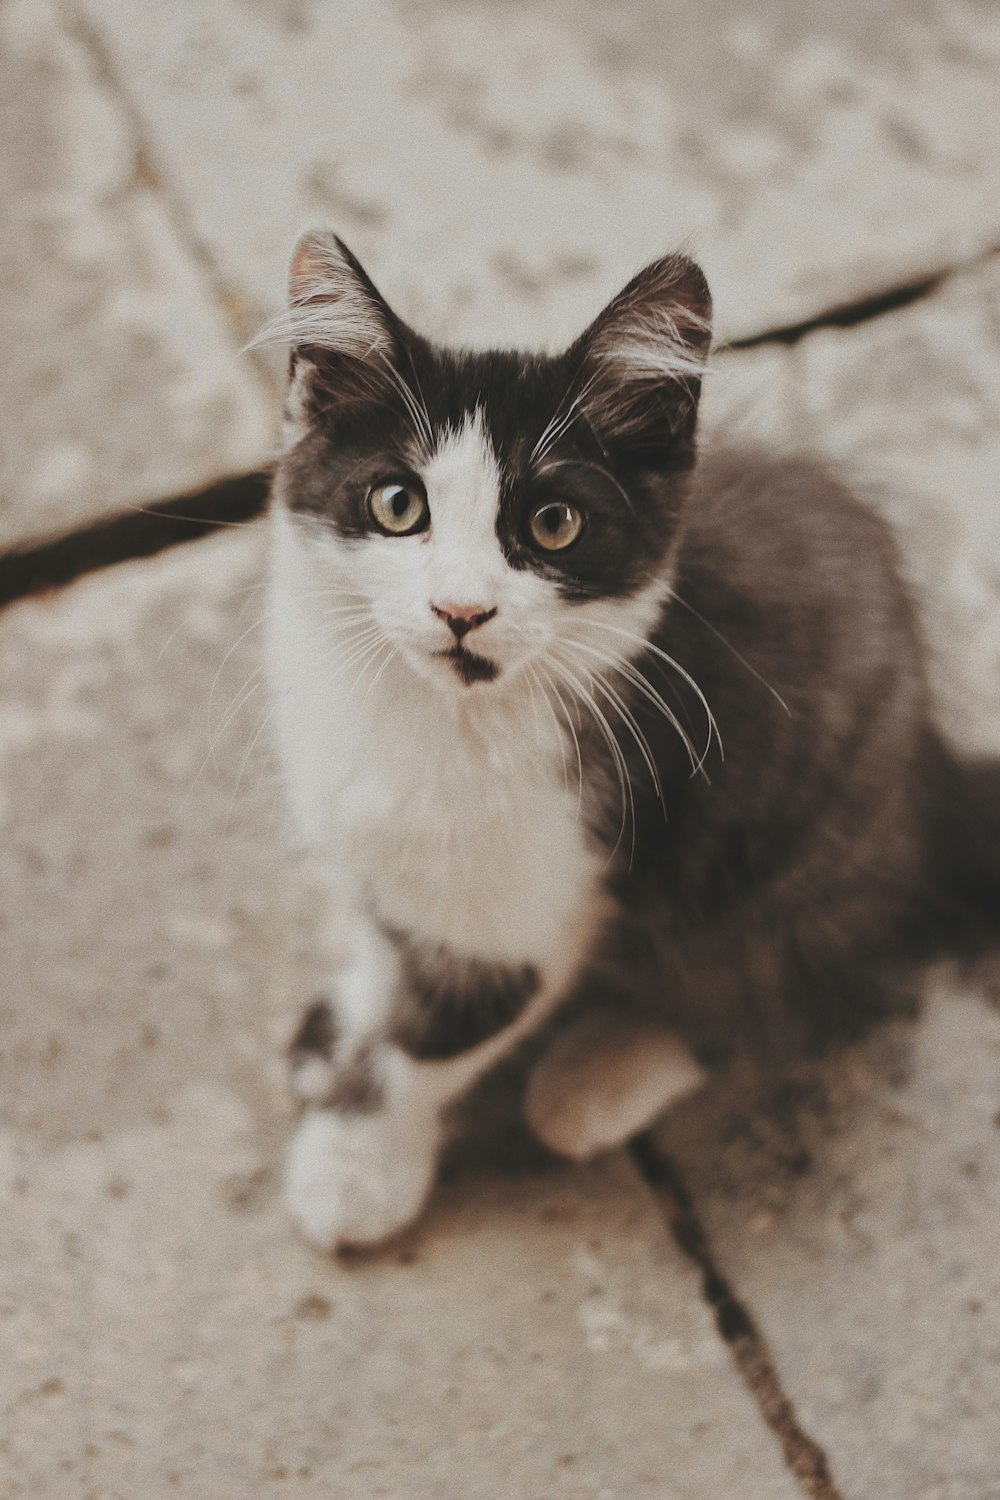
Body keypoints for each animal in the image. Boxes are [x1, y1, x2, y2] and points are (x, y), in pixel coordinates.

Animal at [260, 225, 1000, 1254]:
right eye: (397, 505)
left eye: (554, 524)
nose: (461, 610)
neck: (430, 718)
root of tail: (930, 774)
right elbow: (386, 938)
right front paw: (349, 1018)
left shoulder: (536, 900)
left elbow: (435, 1039)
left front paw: (356, 1166)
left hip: (795, 851)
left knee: (787, 989)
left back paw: (599, 1075)